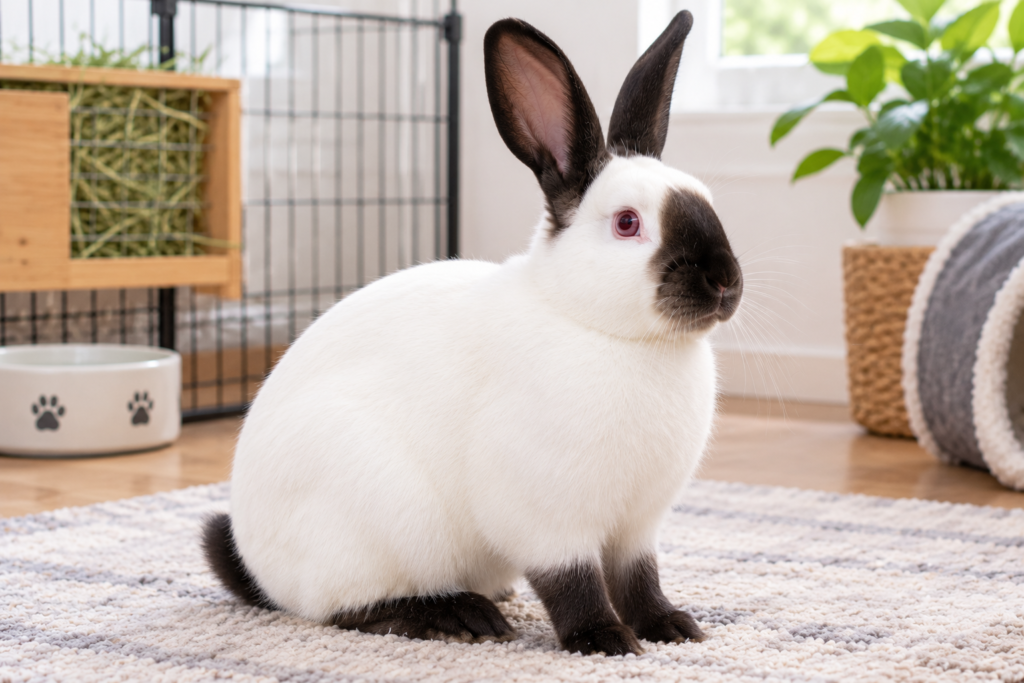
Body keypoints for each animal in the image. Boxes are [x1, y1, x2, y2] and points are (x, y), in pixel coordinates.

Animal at [203, 10, 742, 657]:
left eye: (707, 200)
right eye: (628, 223)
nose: (726, 281)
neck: (602, 328)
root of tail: (258, 567)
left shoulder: (637, 527)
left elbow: (639, 579)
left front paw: (673, 628)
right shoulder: (545, 517)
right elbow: (573, 583)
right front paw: (603, 640)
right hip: (374, 526)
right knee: (345, 609)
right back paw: (460, 616)